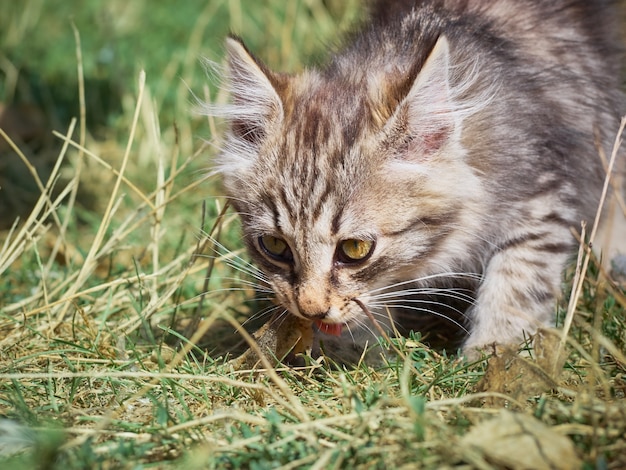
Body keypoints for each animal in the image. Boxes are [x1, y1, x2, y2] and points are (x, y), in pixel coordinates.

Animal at [207, 0, 620, 360]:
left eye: (354, 249)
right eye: (274, 245)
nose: (310, 309)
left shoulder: (541, 195)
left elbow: (517, 283)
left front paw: (495, 357)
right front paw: (353, 350)